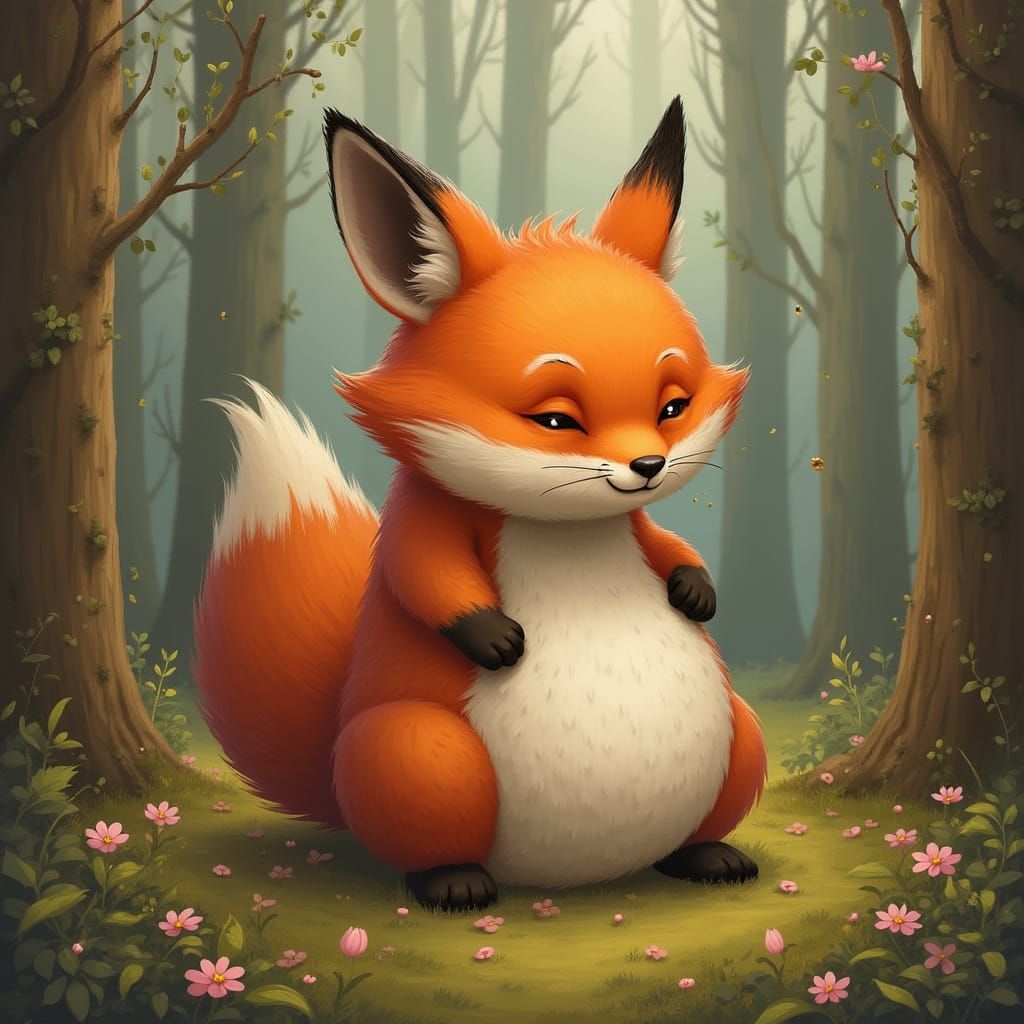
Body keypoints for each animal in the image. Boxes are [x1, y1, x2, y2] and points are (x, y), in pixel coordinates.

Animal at [194, 95, 767, 912]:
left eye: (673, 407)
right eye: (555, 420)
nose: (648, 465)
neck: (568, 532)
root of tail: (577, 876)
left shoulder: (636, 521)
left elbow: (669, 546)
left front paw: (696, 589)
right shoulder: (425, 518)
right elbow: (423, 572)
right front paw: (494, 637)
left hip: (738, 734)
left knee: (700, 824)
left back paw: (708, 856)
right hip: (423, 751)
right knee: (426, 841)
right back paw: (455, 882)